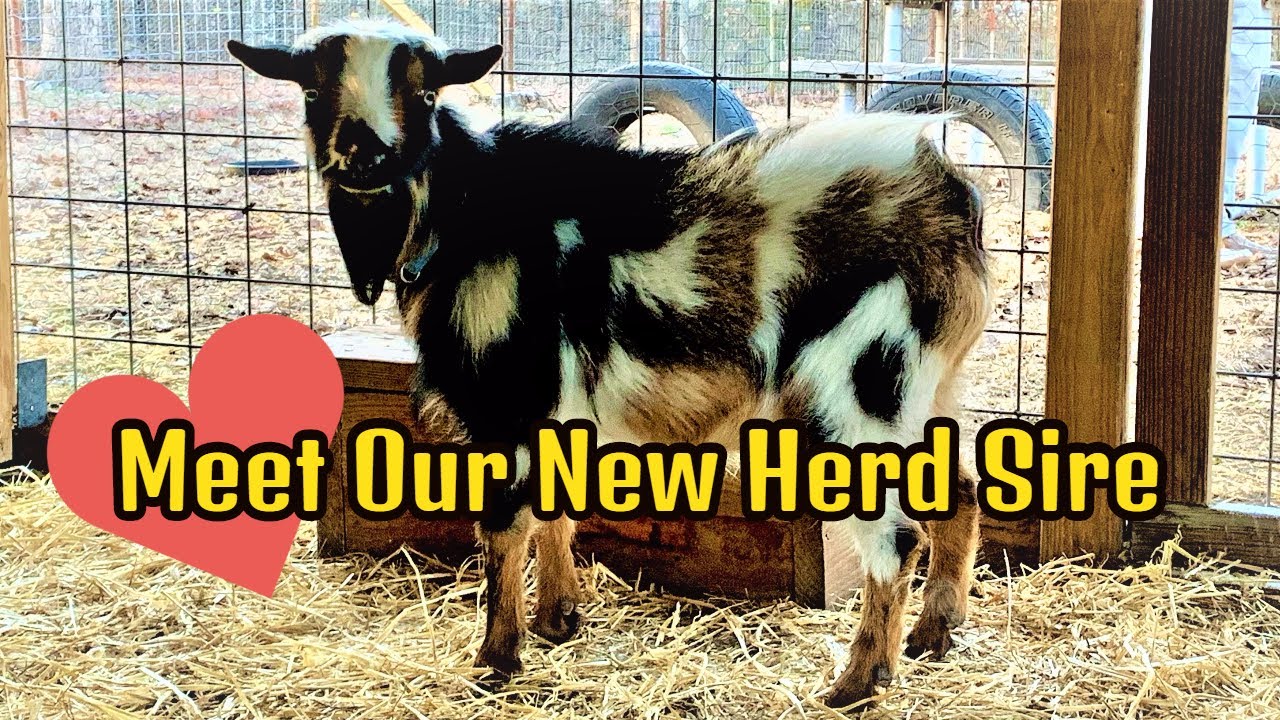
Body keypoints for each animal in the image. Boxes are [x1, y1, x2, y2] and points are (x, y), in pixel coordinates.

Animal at [229, 20, 987, 709]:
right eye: (311, 90)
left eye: (423, 91)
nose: (365, 156)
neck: (463, 211)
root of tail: (944, 188)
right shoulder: (553, 404)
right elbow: (554, 507)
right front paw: (558, 620)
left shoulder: (511, 396)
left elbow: (503, 529)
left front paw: (497, 658)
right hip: (928, 387)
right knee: (962, 489)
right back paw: (933, 636)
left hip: (857, 388)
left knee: (896, 536)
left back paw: (858, 682)